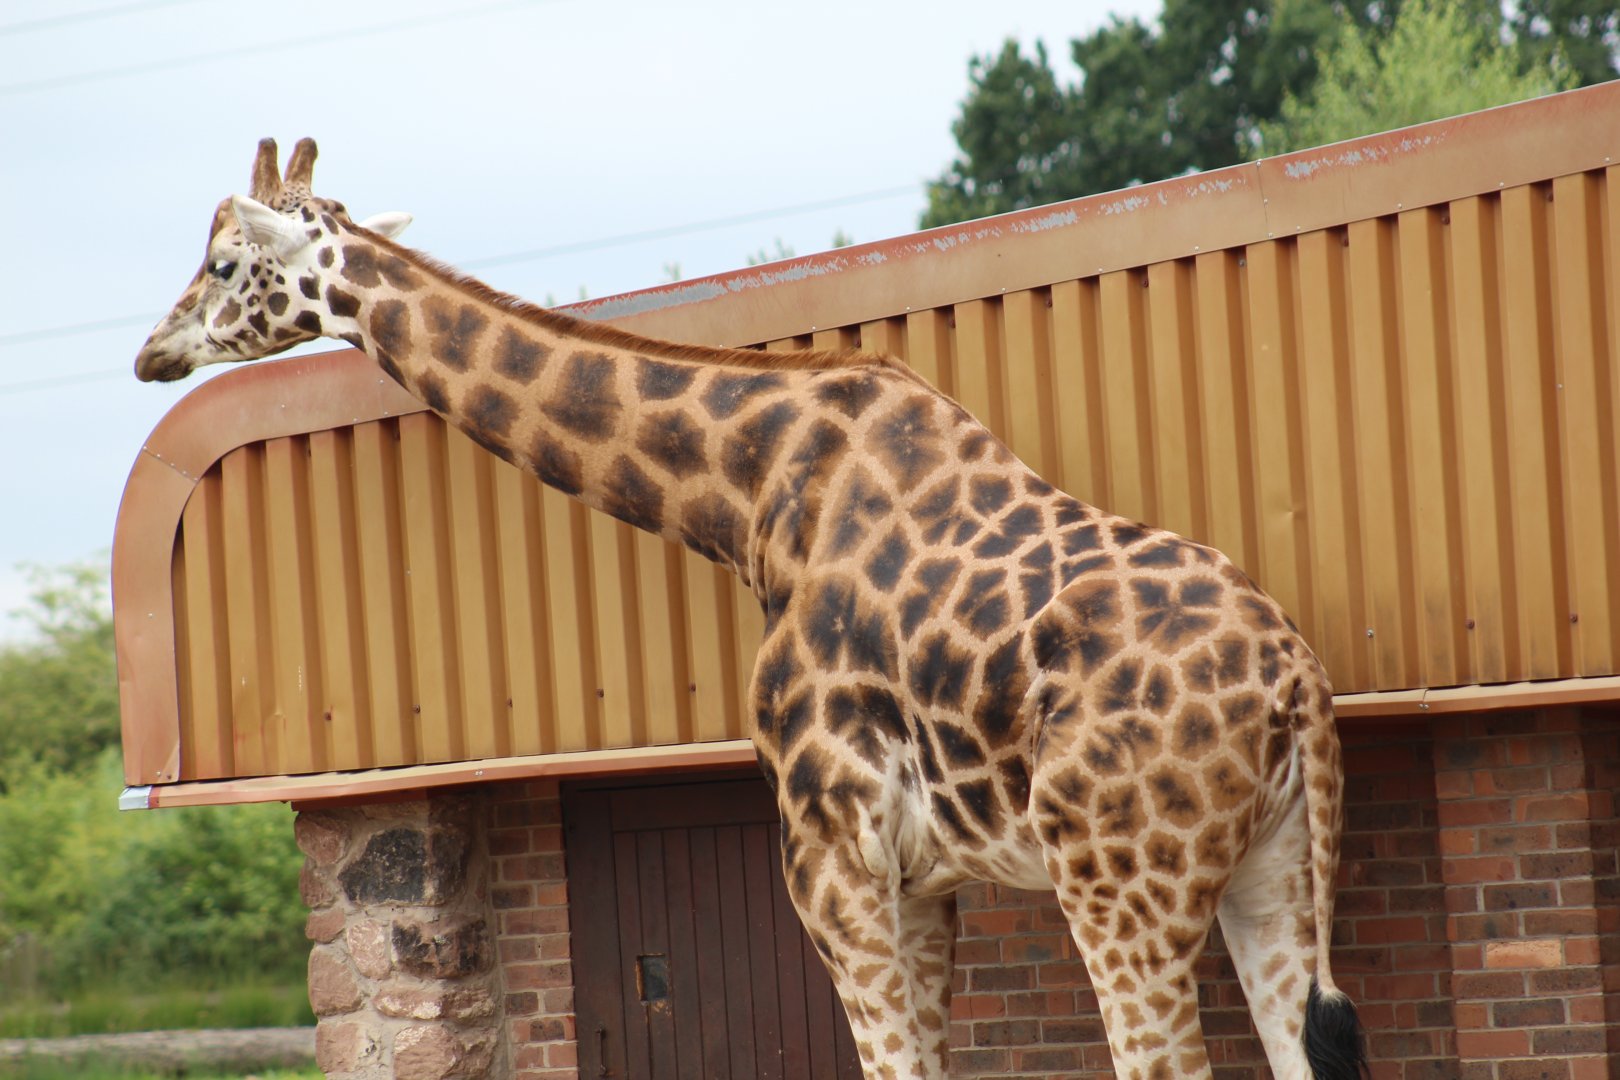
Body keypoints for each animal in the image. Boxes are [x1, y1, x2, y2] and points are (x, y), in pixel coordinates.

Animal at [135, 138, 1368, 1080]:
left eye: (225, 260)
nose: (152, 349)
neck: (750, 495)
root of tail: (1296, 686)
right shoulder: (922, 876)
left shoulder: (830, 852)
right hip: (1272, 873)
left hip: (1121, 883)